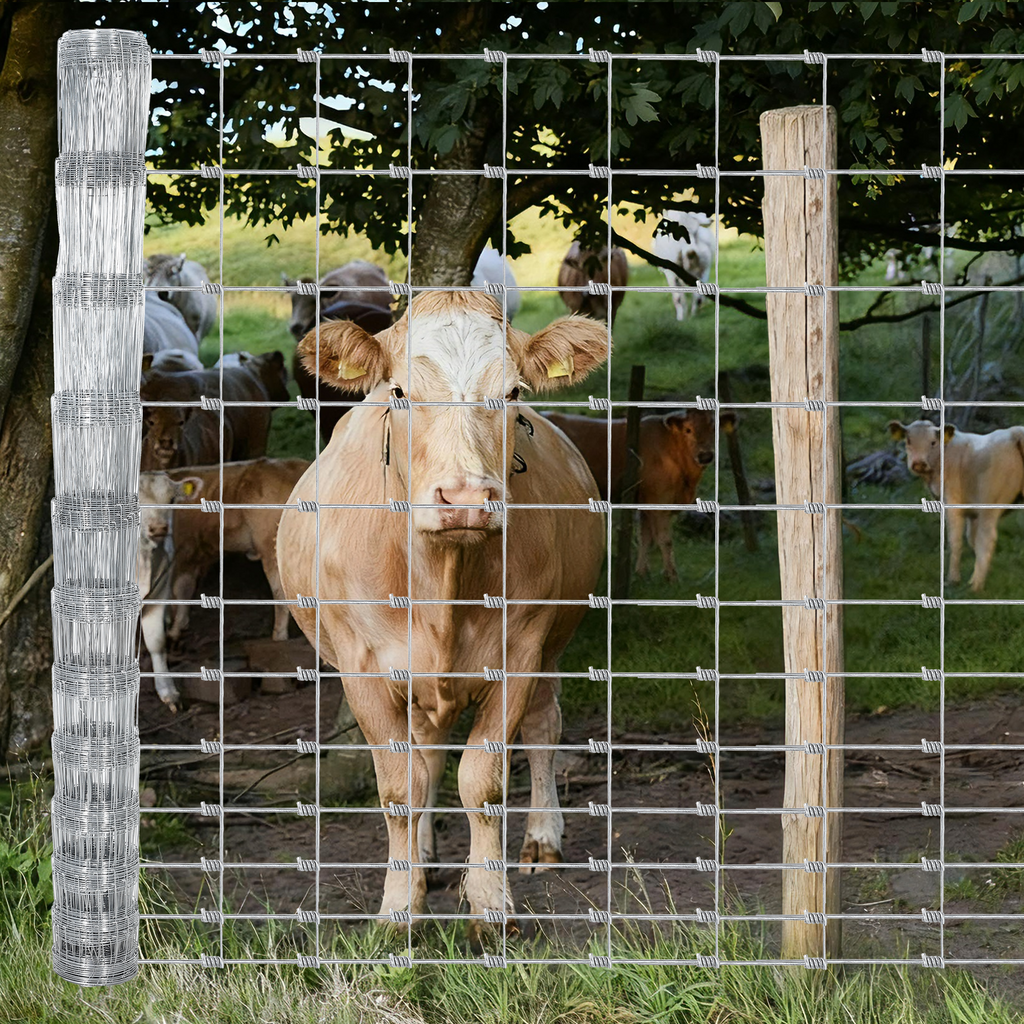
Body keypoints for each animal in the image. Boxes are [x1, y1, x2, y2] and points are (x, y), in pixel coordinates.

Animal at [157, 459, 311, 643]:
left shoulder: (183, 551)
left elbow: (178, 588)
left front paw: (173, 630)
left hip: (271, 546)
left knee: (280, 590)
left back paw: (279, 635)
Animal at [277, 291, 609, 941]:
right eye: (401, 391)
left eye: (512, 392)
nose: (465, 500)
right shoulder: (362, 668)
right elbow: (401, 786)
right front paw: (400, 908)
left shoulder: (521, 652)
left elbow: (483, 781)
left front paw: (489, 905)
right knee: (426, 755)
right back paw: (424, 859)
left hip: (554, 641)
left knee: (543, 728)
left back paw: (541, 839)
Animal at [544, 408, 735, 582]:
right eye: (688, 430)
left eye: (714, 428)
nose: (705, 455)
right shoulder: (659, 499)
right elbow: (665, 539)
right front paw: (672, 577)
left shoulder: (646, 501)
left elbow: (646, 537)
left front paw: (642, 572)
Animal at [889, 419, 1024, 591]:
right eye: (909, 441)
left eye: (933, 442)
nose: (918, 463)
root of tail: (1014, 433)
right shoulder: (972, 511)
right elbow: (971, 539)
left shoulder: (952, 502)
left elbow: (956, 541)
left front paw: (953, 579)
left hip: (990, 504)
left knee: (987, 538)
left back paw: (975, 586)